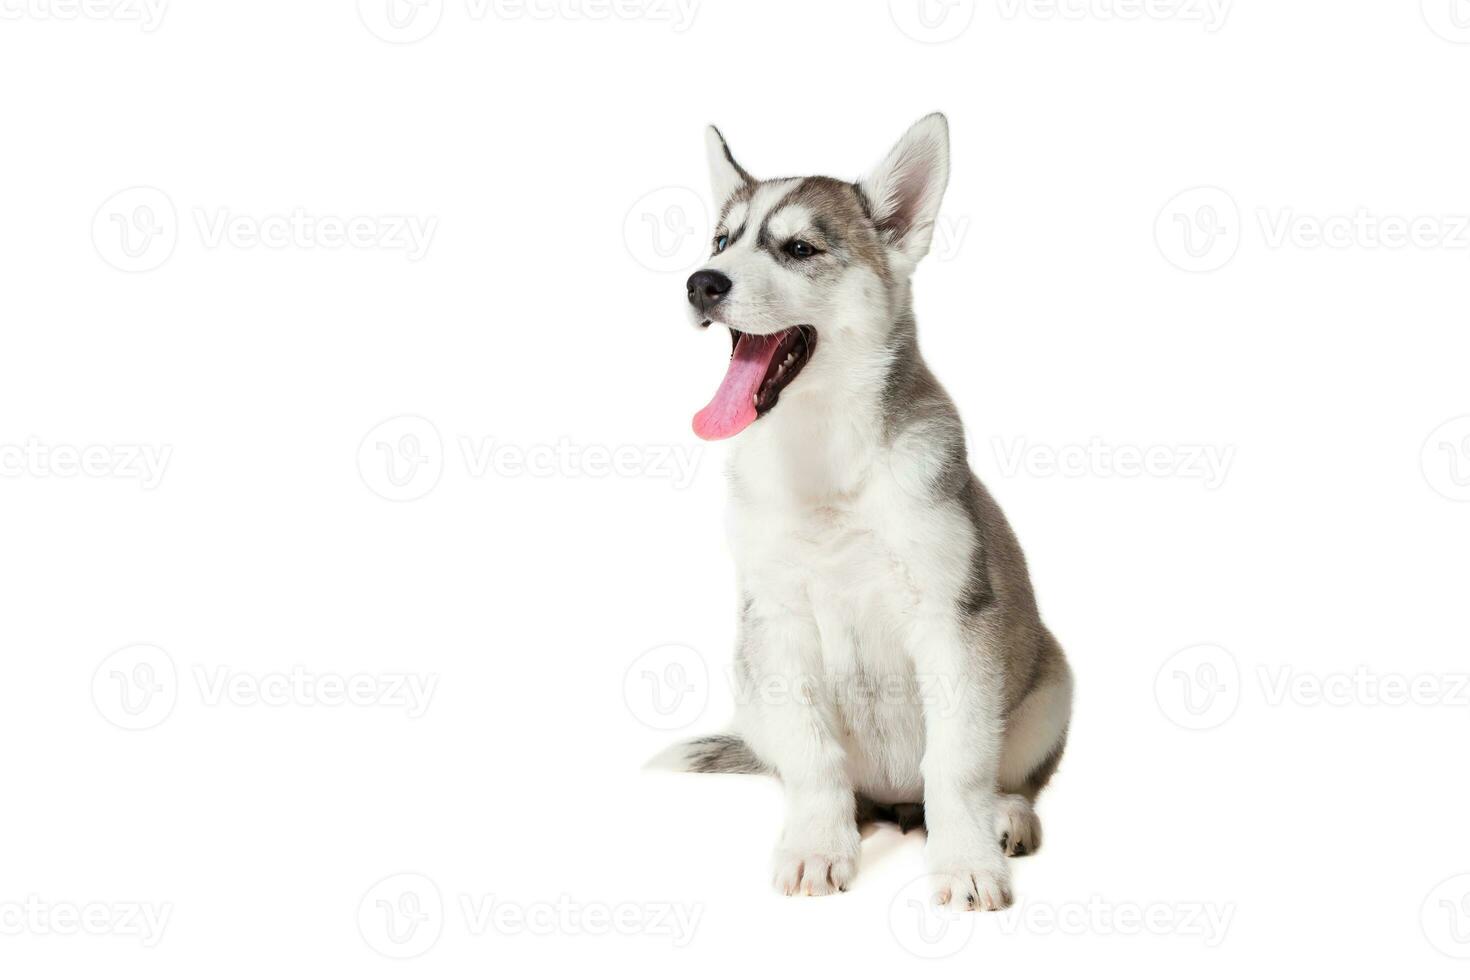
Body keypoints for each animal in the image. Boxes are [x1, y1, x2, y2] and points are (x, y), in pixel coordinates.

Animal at [661, 113, 1076, 910]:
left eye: (798, 248)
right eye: (722, 241)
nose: (700, 283)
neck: (827, 462)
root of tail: (892, 801)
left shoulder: (953, 622)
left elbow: (956, 764)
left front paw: (965, 862)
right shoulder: (778, 625)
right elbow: (815, 759)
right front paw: (817, 846)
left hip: (1051, 689)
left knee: (1006, 779)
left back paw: (1004, 817)